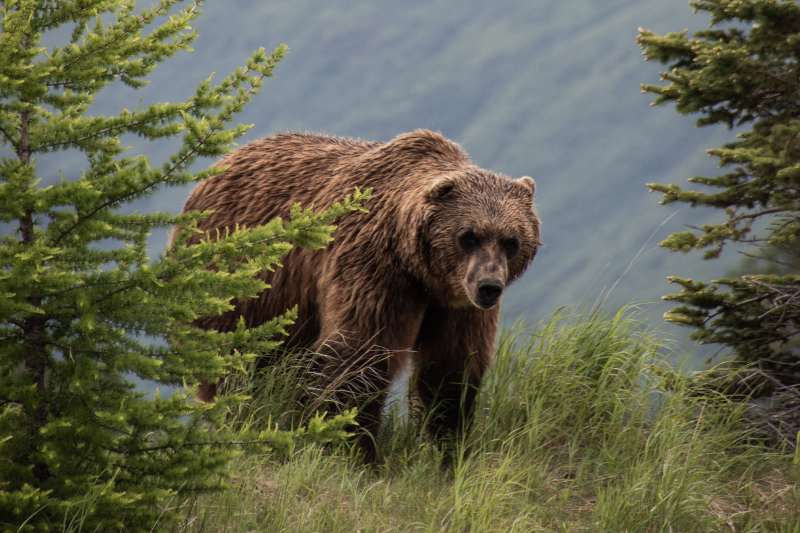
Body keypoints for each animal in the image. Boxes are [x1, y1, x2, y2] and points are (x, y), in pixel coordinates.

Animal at [172, 130, 540, 462]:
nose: (489, 286)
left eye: (511, 241)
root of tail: (219, 165)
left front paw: (447, 448)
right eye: (469, 236)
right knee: (238, 367)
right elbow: (359, 355)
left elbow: (451, 368)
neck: (420, 271)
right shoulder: (374, 268)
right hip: (240, 286)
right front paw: (353, 450)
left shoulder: (456, 304)